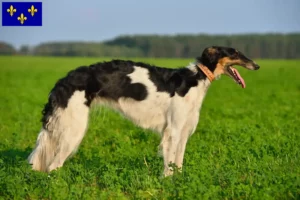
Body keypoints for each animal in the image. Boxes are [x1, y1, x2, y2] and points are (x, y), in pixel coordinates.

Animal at [28, 46, 260, 176]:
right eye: (235, 53)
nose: (257, 66)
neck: (194, 79)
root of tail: (62, 81)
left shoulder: (184, 132)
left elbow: (179, 164)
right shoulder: (173, 131)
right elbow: (170, 166)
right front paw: (168, 182)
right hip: (74, 130)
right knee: (53, 167)